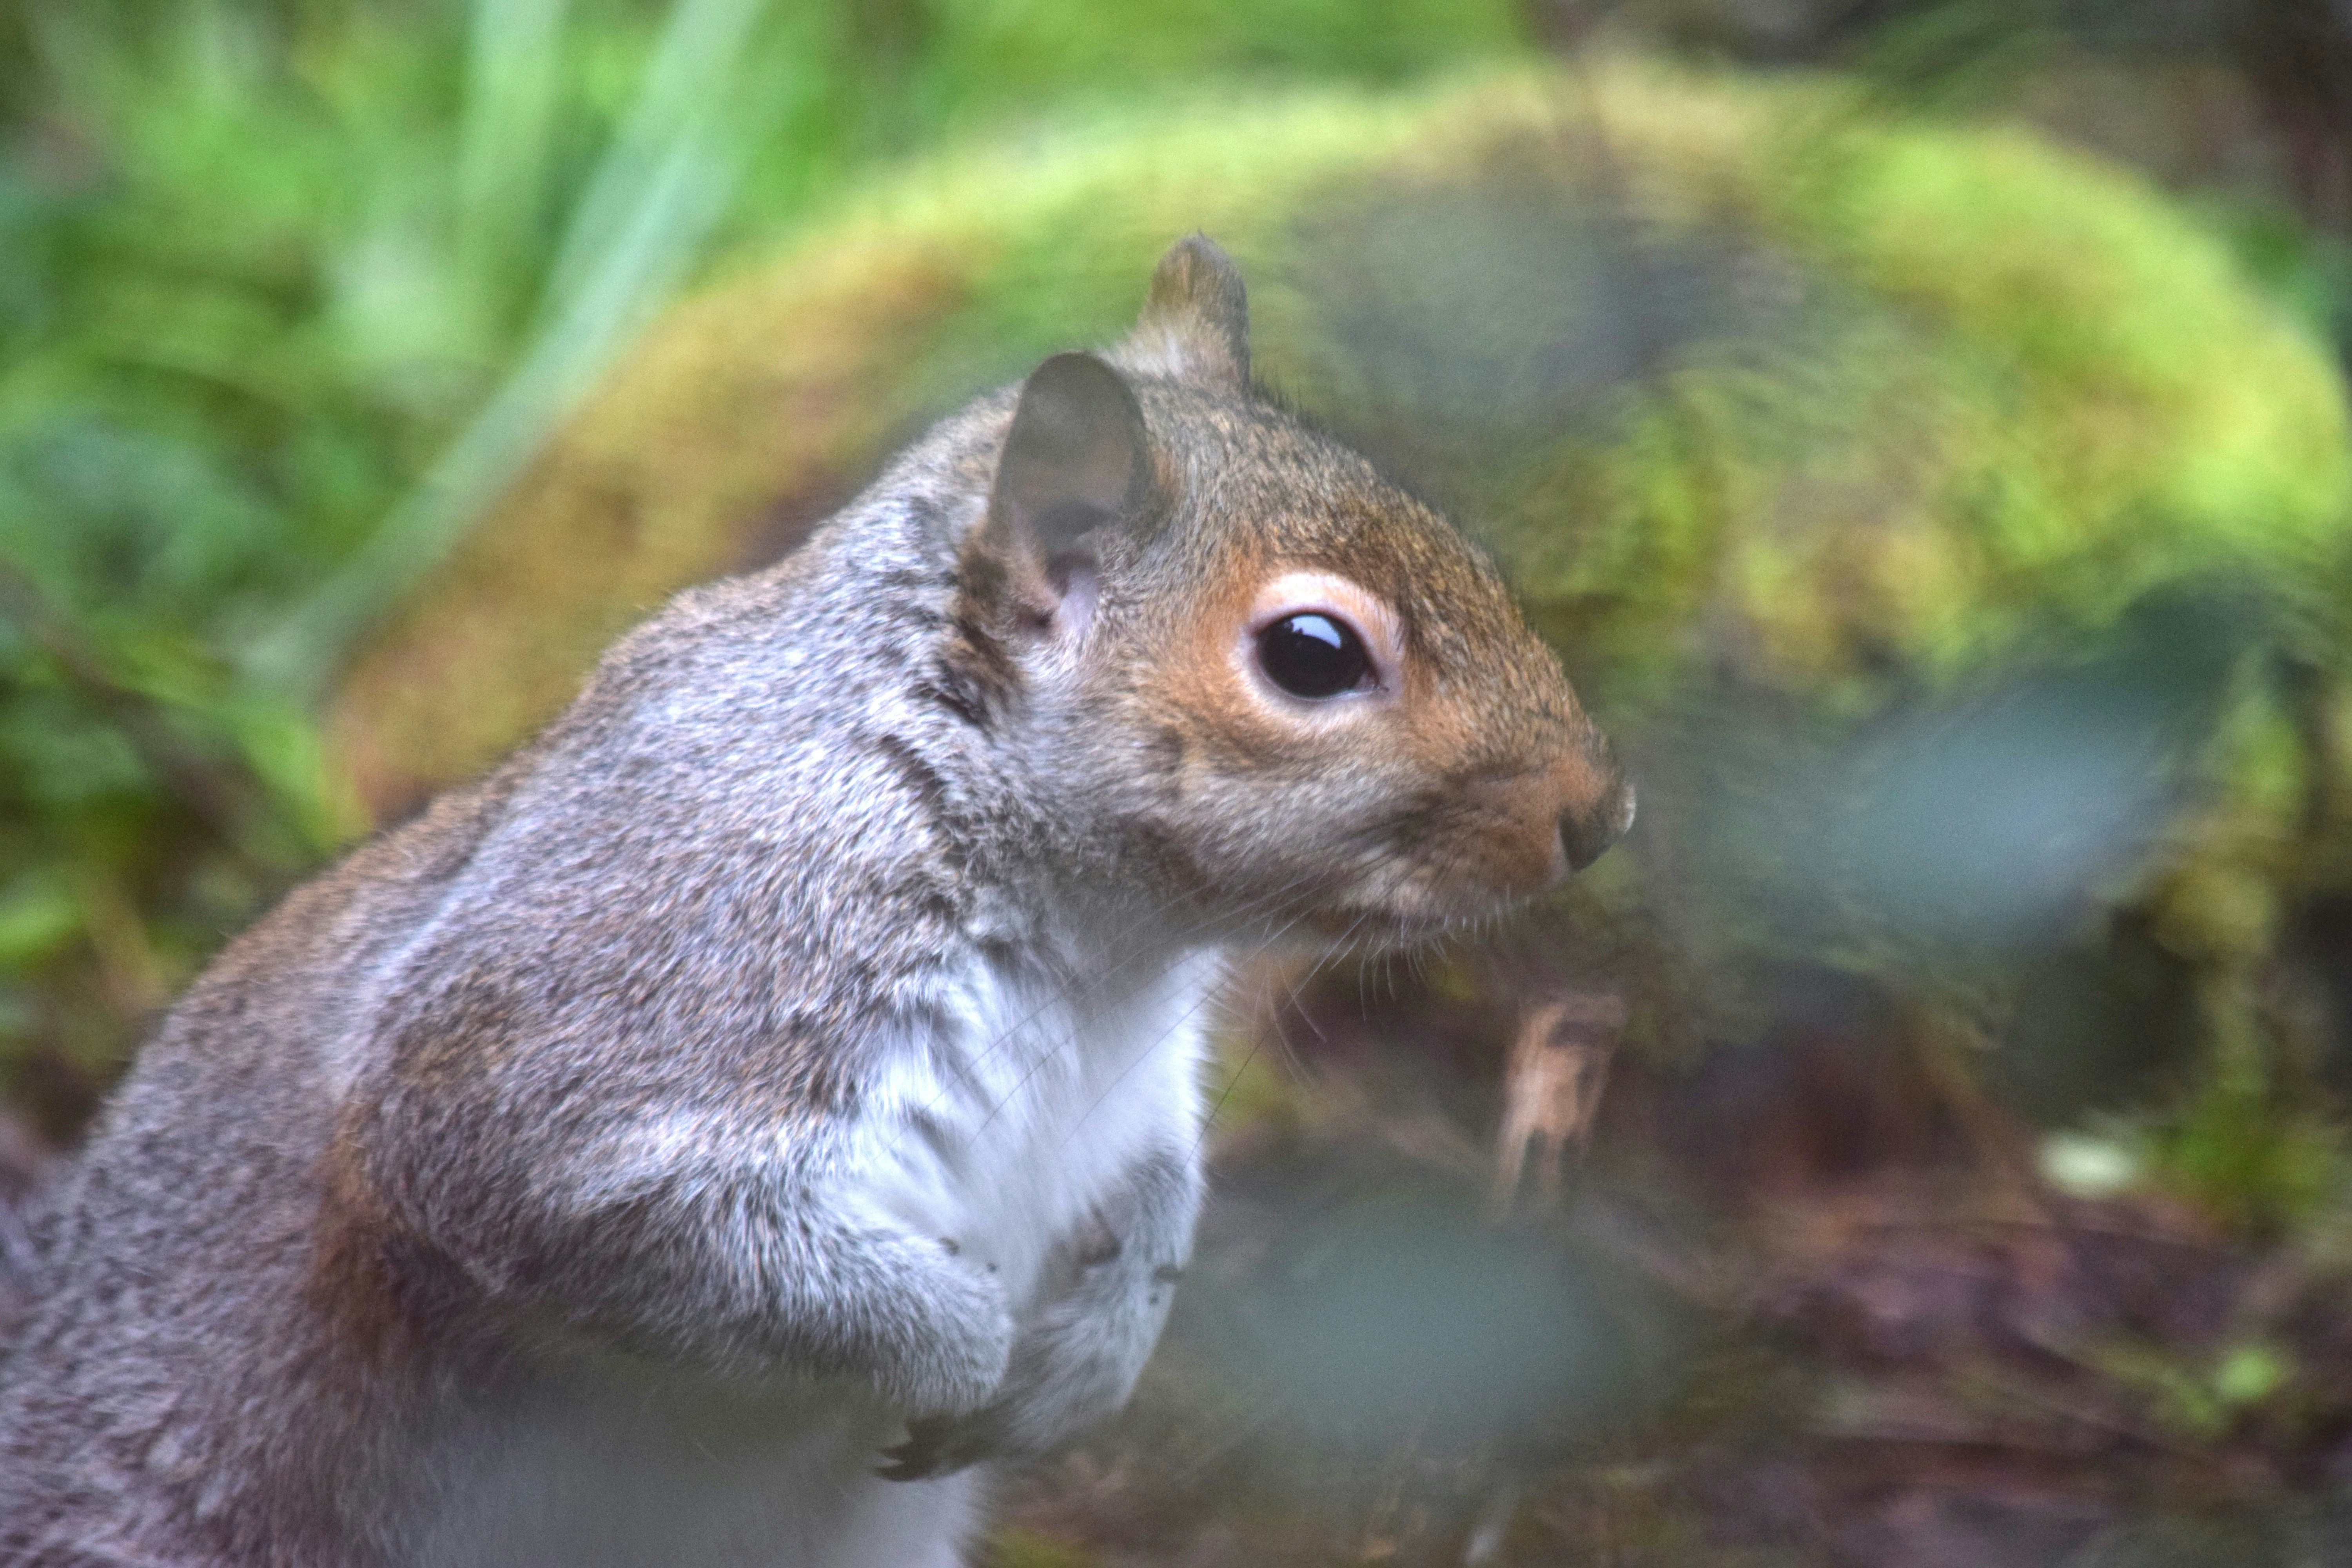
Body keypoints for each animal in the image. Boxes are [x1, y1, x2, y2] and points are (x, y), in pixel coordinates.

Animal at [0, 237, 1630, 1568]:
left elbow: (1163, 1187)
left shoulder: (1137, 1089)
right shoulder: (638, 994)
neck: (1094, 947)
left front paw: (1092, 1356)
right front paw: (962, 1346)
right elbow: (637, 1229)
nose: (1603, 812)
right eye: (1309, 653)